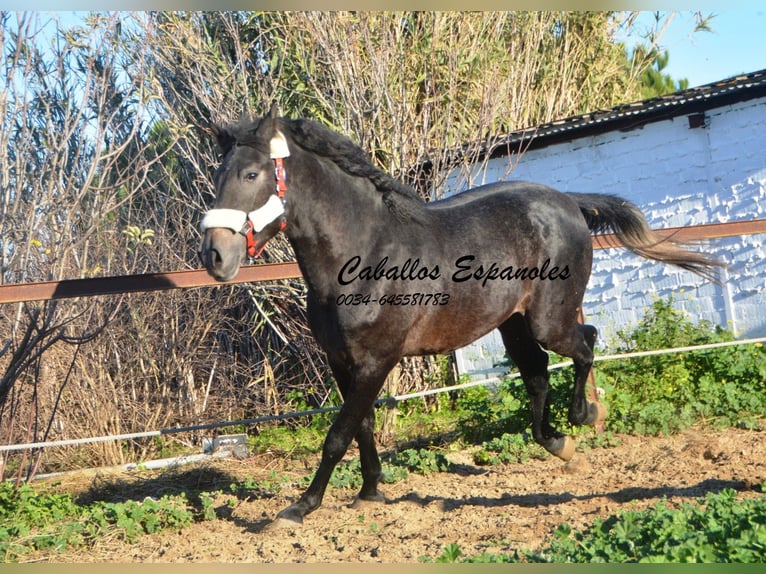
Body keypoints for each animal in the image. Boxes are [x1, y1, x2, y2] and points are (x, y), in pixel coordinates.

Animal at [198, 104, 728, 528]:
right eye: (218, 176)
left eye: (251, 175)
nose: (215, 257)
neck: (364, 253)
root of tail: (568, 202)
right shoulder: (342, 362)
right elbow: (360, 425)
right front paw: (369, 492)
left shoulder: (377, 360)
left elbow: (336, 435)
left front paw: (298, 508)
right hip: (514, 323)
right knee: (539, 373)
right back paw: (559, 443)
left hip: (547, 320)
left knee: (586, 341)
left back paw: (585, 415)